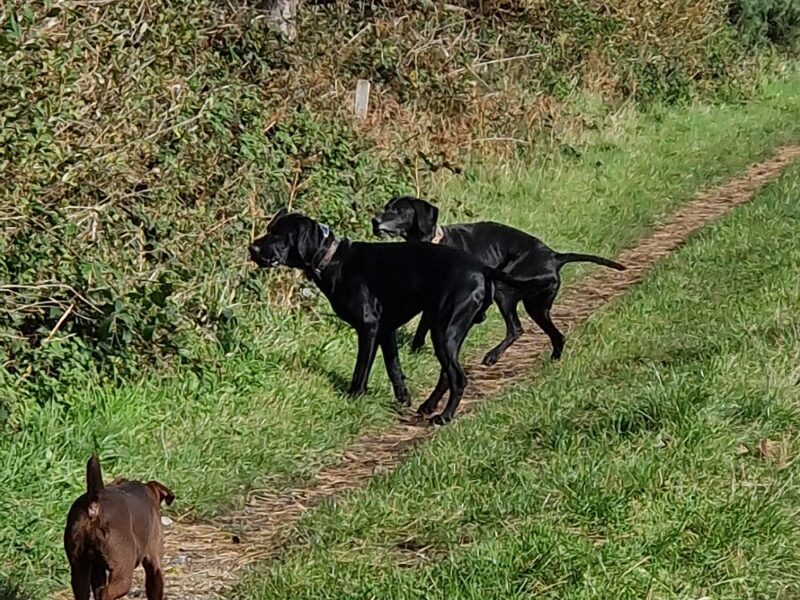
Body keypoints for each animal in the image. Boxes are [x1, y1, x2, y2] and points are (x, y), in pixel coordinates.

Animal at [64, 454, 175, 600]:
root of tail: (95, 504)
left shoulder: (97, 568)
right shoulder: (154, 562)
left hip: (79, 570)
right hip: (123, 572)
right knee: (106, 593)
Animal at [248, 209, 552, 424]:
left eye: (278, 235)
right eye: (268, 230)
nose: (252, 249)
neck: (333, 259)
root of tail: (482, 268)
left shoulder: (369, 328)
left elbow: (361, 370)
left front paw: (353, 397)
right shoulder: (387, 331)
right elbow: (394, 367)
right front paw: (403, 397)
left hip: (443, 330)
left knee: (457, 377)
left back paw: (444, 416)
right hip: (447, 332)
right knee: (447, 374)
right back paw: (428, 406)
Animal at [372, 197, 628, 366]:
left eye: (399, 211)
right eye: (386, 208)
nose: (374, 221)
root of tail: (555, 256)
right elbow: (423, 327)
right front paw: (415, 351)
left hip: (505, 290)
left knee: (516, 328)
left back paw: (493, 356)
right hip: (537, 305)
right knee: (556, 335)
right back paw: (553, 360)